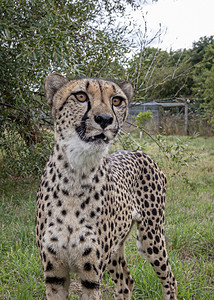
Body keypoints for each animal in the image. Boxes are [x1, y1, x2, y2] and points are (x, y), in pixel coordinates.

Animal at [36, 73, 177, 300]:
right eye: (81, 96)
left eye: (117, 100)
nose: (104, 119)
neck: (76, 176)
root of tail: (139, 151)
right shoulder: (54, 275)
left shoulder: (91, 278)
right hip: (116, 247)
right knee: (126, 282)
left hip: (150, 238)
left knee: (169, 279)